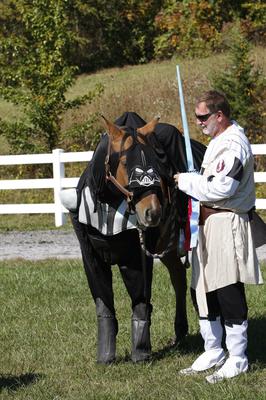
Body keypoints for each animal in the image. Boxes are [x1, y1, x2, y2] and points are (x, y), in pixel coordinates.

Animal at [60, 111, 206, 364]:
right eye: (126, 162)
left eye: (156, 162)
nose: (153, 212)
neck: (107, 205)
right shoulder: (90, 255)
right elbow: (104, 303)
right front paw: (106, 355)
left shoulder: (136, 257)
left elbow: (140, 300)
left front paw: (141, 352)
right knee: (178, 276)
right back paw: (180, 331)